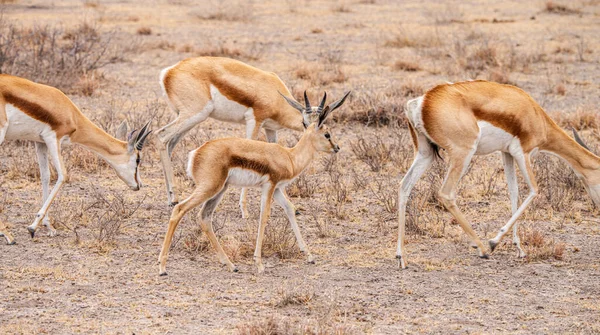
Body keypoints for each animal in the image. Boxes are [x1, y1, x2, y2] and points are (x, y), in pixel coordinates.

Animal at [1, 75, 151, 240]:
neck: (71, 114)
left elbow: (45, 176)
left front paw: (48, 227)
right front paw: (32, 227)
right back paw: (7, 235)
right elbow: (63, 175)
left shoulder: (40, 142)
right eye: (138, 160)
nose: (139, 185)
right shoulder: (53, 138)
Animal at [158, 56, 314, 218]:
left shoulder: (270, 129)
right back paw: (174, 198)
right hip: (194, 115)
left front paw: (293, 207)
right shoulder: (254, 121)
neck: (275, 93)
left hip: (189, 119)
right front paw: (244, 210)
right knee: (162, 135)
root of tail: (169, 71)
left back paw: (171, 198)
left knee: (170, 145)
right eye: (304, 123)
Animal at [158, 90, 352, 274]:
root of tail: (196, 153)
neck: (289, 157)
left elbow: (290, 209)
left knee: (204, 217)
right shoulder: (269, 186)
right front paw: (259, 264)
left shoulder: (277, 189)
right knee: (179, 209)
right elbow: (264, 216)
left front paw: (309, 255)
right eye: (327, 134)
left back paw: (231, 265)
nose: (337, 147)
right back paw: (162, 267)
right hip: (210, 188)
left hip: (220, 189)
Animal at [398, 80, 600, 270]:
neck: (535, 115)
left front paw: (519, 249)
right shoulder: (523, 153)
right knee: (446, 194)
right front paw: (494, 242)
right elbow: (534, 191)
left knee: (404, 187)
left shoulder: (507, 153)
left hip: (426, 154)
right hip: (463, 153)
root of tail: (423, 101)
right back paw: (482, 249)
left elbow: (514, 194)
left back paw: (401, 258)